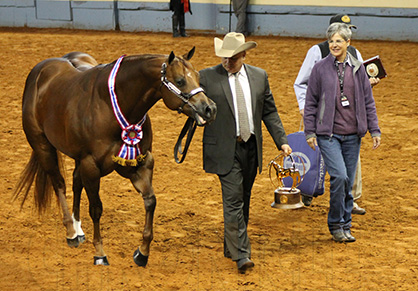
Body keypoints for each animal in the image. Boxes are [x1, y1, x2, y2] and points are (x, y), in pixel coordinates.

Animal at [13, 48, 216, 266]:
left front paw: (142, 253)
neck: (109, 107)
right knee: (59, 184)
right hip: (42, 145)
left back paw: (78, 228)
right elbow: (96, 208)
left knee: (75, 182)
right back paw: (71, 233)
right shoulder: (91, 165)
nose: (209, 108)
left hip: (76, 157)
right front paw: (100, 253)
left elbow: (150, 201)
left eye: (198, 76)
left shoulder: (140, 163)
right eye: (179, 80)